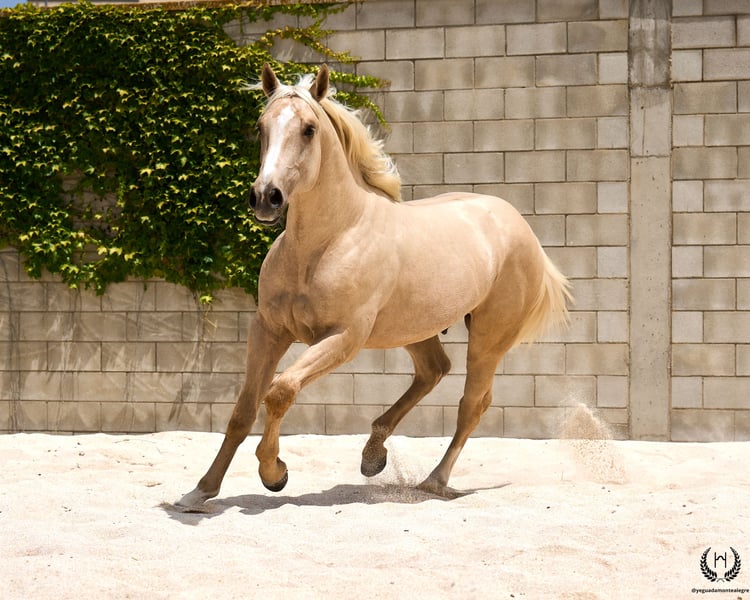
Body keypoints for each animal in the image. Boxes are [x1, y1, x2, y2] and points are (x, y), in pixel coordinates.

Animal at [175, 63, 572, 509]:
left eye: (309, 129)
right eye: (260, 127)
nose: (265, 197)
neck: (327, 242)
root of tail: (520, 226)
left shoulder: (343, 338)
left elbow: (280, 390)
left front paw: (274, 473)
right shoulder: (268, 330)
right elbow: (242, 411)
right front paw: (201, 491)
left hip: (489, 337)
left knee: (472, 403)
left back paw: (434, 480)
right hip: (415, 328)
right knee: (434, 371)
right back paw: (373, 455)